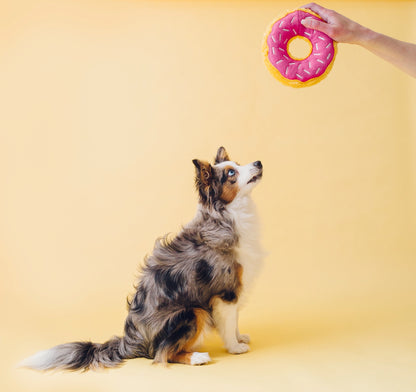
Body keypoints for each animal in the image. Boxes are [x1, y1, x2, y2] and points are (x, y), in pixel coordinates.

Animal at [19, 147, 264, 370]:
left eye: (238, 164)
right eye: (231, 173)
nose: (259, 162)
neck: (227, 215)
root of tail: (131, 342)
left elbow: (235, 323)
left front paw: (240, 337)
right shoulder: (226, 291)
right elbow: (229, 323)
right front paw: (235, 347)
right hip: (193, 311)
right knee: (162, 353)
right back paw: (196, 357)